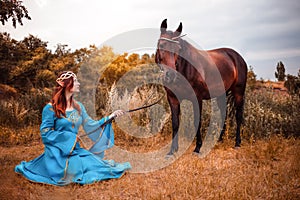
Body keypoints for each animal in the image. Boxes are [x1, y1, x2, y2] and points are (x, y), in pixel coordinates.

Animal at [156, 18, 247, 155]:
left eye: (178, 48)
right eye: (161, 46)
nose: (170, 75)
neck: (185, 68)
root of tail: (237, 57)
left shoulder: (197, 98)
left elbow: (196, 122)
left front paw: (198, 147)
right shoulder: (173, 99)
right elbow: (175, 123)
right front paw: (172, 150)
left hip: (238, 93)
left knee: (238, 116)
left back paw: (237, 143)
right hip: (222, 94)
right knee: (223, 114)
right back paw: (218, 140)